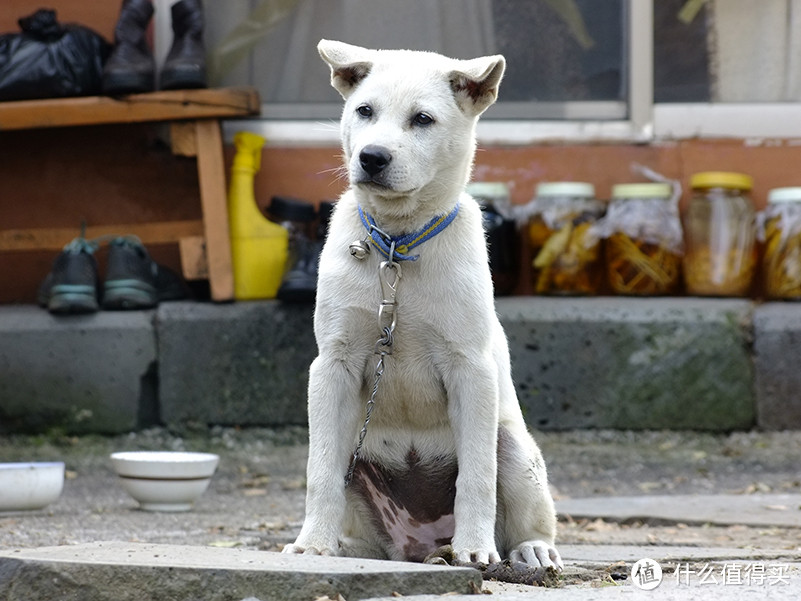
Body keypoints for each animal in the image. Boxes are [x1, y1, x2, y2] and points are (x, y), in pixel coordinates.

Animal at [284, 38, 560, 568]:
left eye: (423, 119)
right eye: (364, 111)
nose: (371, 157)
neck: (398, 246)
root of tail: (423, 545)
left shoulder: (471, 367)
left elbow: (476, 477)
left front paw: (475, 550)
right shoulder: (333, 365)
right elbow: (319, 469)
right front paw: (312, 544)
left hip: (514, 445)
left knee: (523, 512)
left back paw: (525, 551)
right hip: (359, 462)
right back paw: (349, 548)